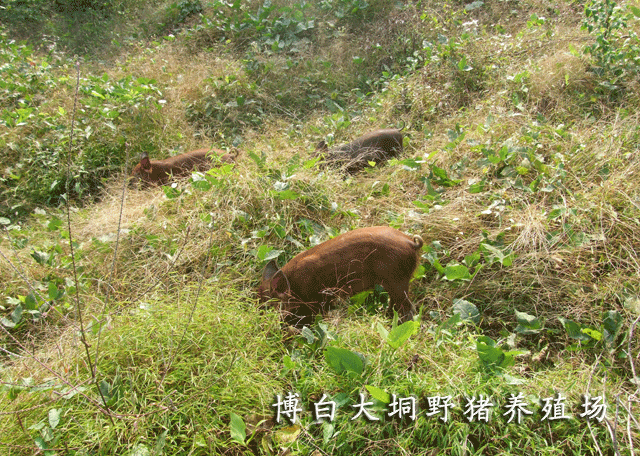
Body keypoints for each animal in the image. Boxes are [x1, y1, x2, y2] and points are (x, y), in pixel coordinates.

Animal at [258, 225, 422, 326]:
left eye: (268, 305)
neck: (294, 285)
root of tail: (411, 243)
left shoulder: (319, 299)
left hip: (397, 281)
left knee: (408, 308)